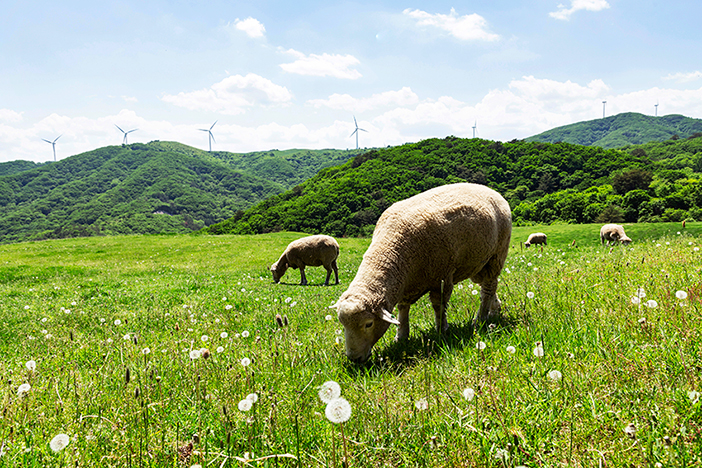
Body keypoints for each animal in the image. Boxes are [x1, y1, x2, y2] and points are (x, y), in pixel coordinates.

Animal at [332, 183, 516, 362]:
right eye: (342, 324)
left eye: (369, 324)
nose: (354, 359)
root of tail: (491, 190)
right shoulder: (406, 284)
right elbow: (403, 309)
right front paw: (401, 336)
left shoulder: (441, 277)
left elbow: (438, 305)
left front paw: (442, 330)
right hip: (477, 262)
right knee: (487, 285)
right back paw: (494, 311)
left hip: (497, 254)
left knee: (488, 287)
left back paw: (480, 319)